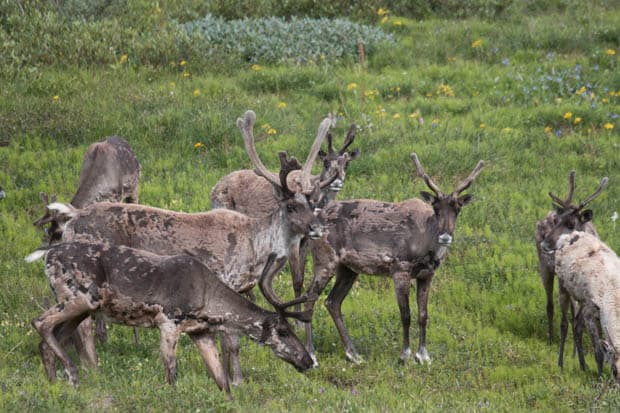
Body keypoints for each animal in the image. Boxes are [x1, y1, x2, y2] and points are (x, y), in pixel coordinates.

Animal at [26, 243, 312, 398]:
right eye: (283, 331)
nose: (308, 360)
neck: (208, 303)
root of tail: (48, 253)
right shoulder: (169, 321)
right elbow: (171, 375)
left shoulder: (200, 332)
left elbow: (224, 383)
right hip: (81, 298)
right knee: (40, 321)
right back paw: (71, 373)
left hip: (82, 308)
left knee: (47, 338)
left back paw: (53, 384)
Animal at [304, 154, 484, 364]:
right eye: (436, 208)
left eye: (458, 208)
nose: (445, 236)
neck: (426, 244)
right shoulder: (400, 269)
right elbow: (405, 314)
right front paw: (405, 355)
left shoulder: (427, 275)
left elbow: (423, 315)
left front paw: (424, 356)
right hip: (325, 260)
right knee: (309, 299)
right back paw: (312, 354)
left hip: (348, 268)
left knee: (332, 302)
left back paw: (353, 354)